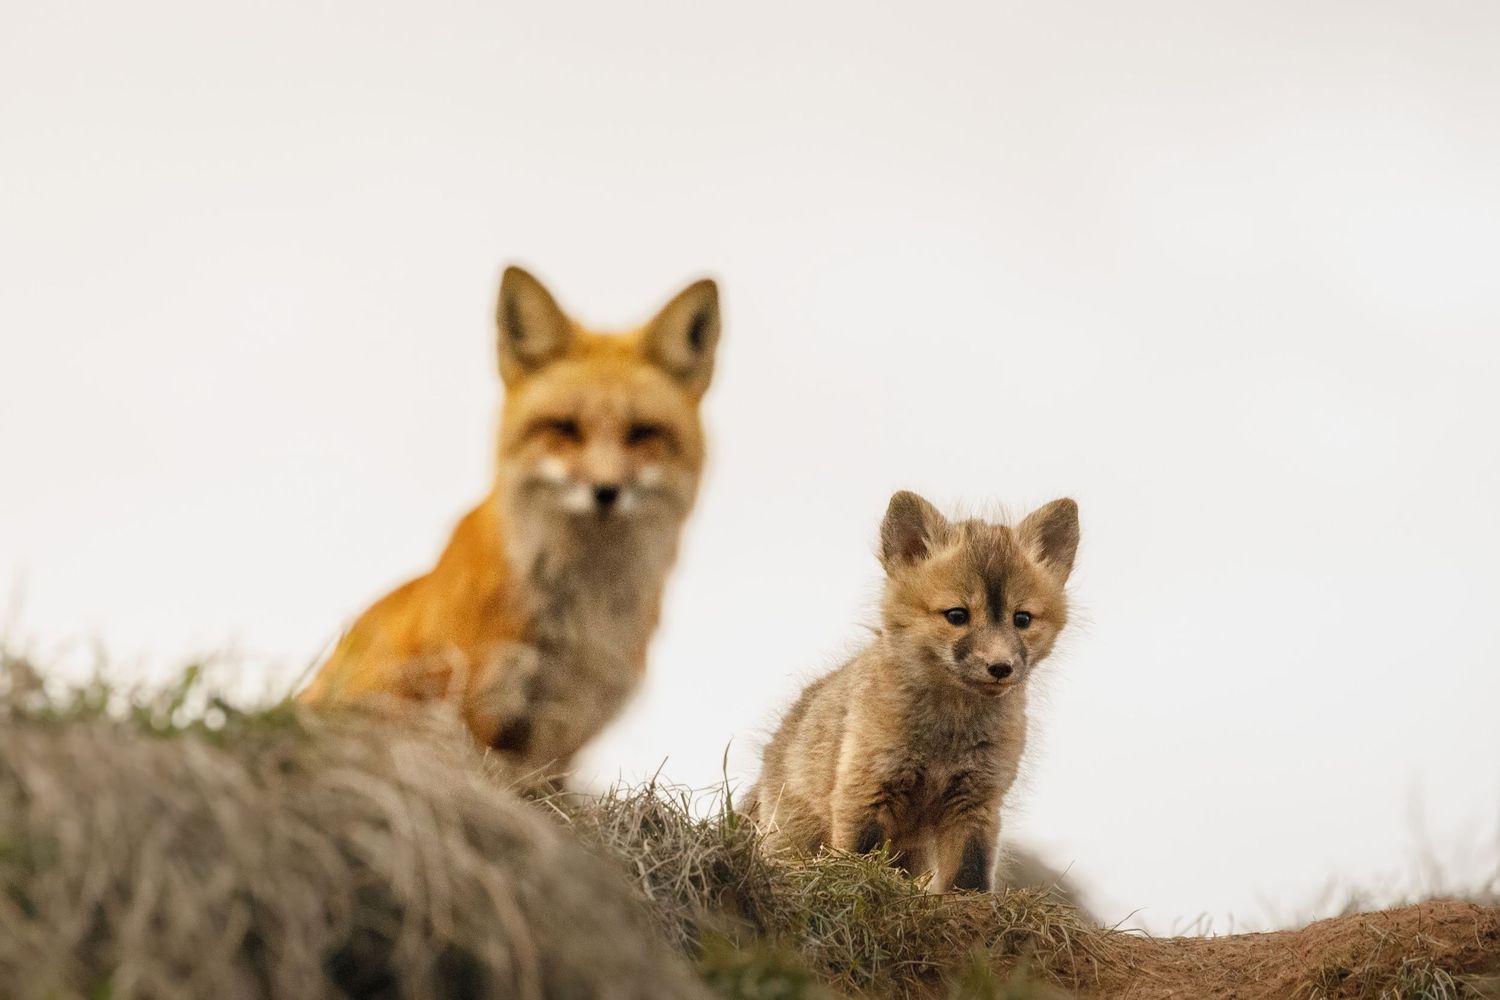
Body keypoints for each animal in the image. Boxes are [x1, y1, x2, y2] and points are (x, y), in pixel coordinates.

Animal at [299, 265, 721, 781]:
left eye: (643, 433)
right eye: (564, 428)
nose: (605, 491)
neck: (581, 619)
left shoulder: (564, 733)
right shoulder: (481, 704)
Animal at [743, 490, 1079, 893]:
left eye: (1022, 619)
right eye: (956, 616)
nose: (1000, 668)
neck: (948, 734)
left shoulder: (977, 801)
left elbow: (970, 875)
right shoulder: (866, 787)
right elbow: (858, 858)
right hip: (792, 840)